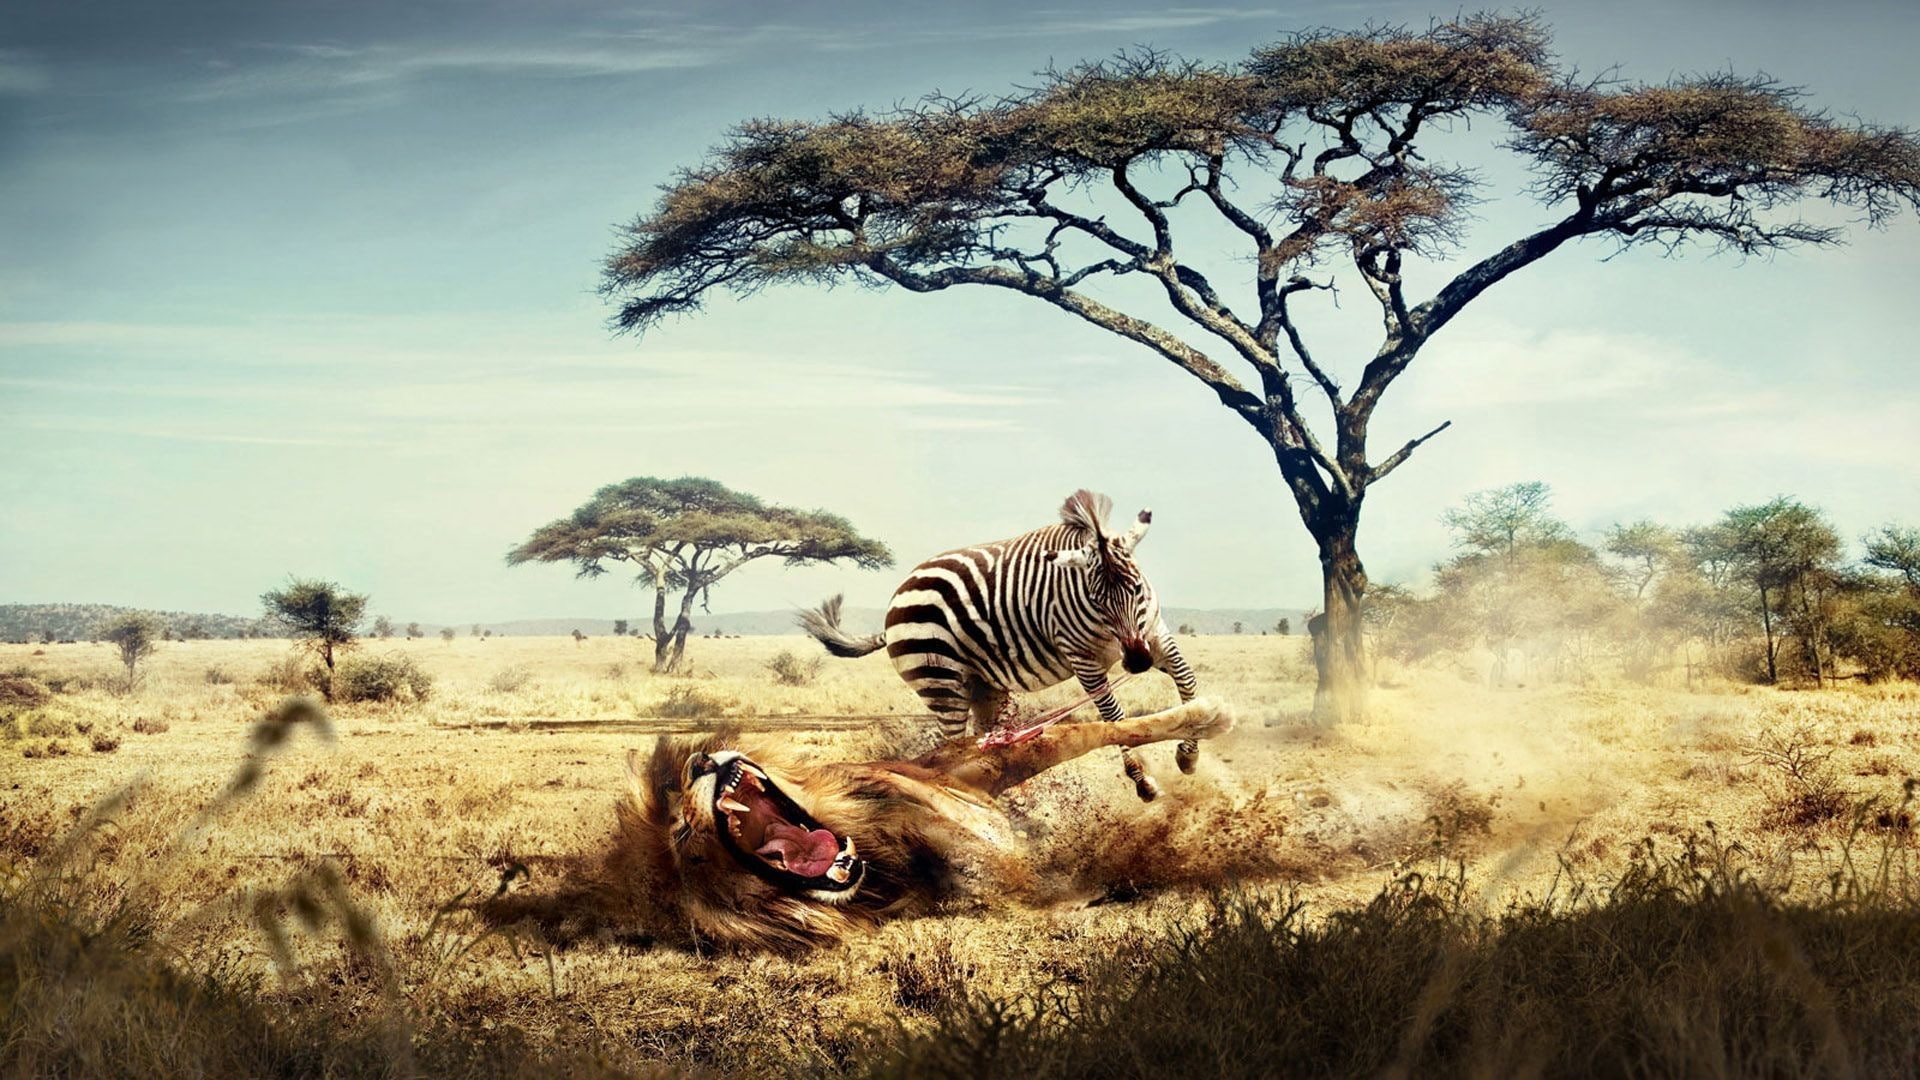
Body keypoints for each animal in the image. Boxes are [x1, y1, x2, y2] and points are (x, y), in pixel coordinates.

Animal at [615, 697, 1234, 949]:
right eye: (682, 834)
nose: (701, 762)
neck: (877, 856)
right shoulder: (979, 890)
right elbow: (1026, 892)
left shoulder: (969, 765)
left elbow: (1093, 730)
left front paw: (1205, 718)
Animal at [798, 489, 1202, 802]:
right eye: (1096, 599)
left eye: (1136, 588)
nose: (1136, 662)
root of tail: (897, 597)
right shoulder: (1083, 660)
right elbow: (1117, 719)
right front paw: (1144, 782)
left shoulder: (1154, 634)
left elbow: (1189, 683)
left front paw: (1188, 755)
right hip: (940, 682)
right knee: (952, 748)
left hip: (983, 685)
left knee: (983, 744)